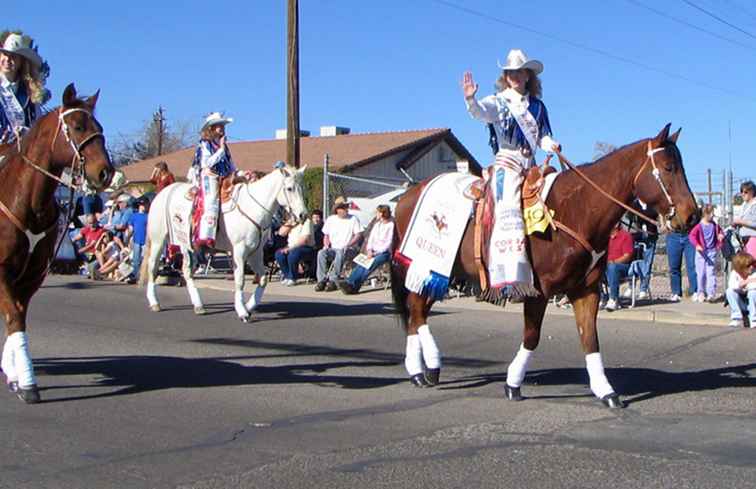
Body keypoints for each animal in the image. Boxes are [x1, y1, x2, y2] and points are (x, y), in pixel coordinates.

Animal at [0, 85, 113, 404]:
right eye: (77, 126)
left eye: (100, 128)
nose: (106, 173)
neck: (27, 201)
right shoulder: (2, 270)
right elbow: (14, 317)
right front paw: (26, 381)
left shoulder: (33, 274)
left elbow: (17, 317)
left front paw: (16, 375)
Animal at [140, 166, 308, 322]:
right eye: (289, 188)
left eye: (303, 187)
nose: (303, 215)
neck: (252, 209)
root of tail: (163, 192)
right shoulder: (239, 251)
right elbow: (239, 281)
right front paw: (242, 311)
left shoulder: (256, 252)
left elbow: (263, 279)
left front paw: (248, 307)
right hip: (159, 240)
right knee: (153, 268)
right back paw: (154, 302)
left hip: (188, 246)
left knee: (187, 273)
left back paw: (198, 305)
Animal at [392, 123, 700, 408]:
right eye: (669, 167)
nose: (692, 215)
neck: (575, 210)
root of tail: (406, 197)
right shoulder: (538, 291)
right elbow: (532, 336)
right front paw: (513, 384)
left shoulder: (586, 290)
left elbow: (590, 339)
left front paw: (606, 391)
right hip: (424, 266)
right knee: (416, 311)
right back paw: (422, 370)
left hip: (440, 272)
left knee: (417, 314)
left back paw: (426, 369)